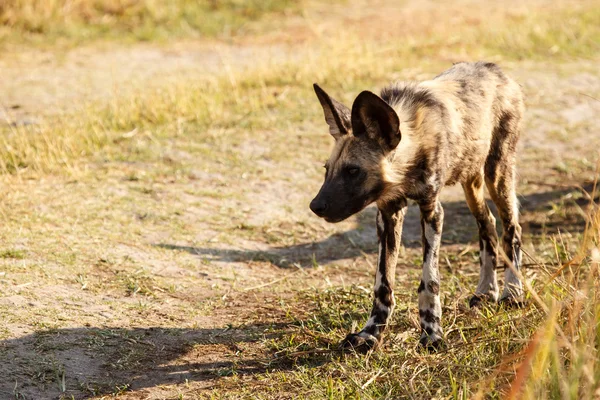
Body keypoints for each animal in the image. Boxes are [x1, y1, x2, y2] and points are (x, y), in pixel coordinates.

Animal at [310, 61, 524, 350]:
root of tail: (495, 68)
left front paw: (432, 333)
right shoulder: (388, 213)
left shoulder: (432, 210)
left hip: (497, 173)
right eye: (327, 170)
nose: (315, 206)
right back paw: (486, 291)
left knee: (512, 228)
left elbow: (429, 281)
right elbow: (383, 283)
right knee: (487, 224)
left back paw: (512, 292)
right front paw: (370, 333)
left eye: (353, 171)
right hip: (471, 182)